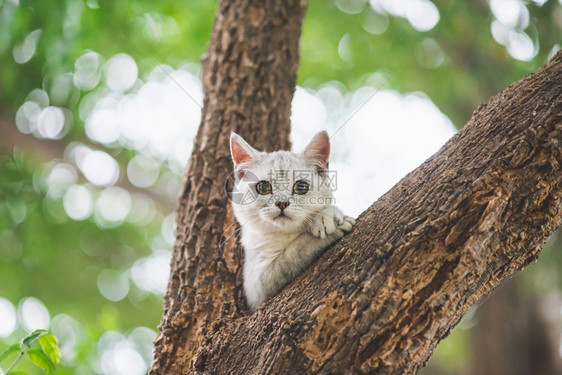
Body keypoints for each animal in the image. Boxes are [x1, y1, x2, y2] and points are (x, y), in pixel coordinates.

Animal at [229, 132, 352, 312]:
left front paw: (327, 215)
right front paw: (332, 229)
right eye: (263, 187)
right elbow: (294, 252)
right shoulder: (256, 286)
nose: (282, 203)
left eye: (300, 187)